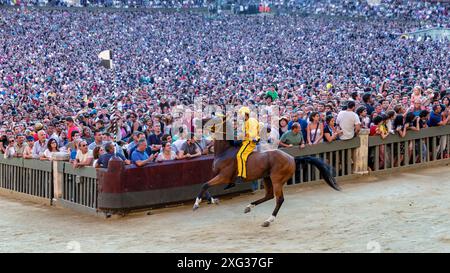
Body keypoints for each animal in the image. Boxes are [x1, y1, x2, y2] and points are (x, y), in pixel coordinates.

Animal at [193, 115, 342, 225]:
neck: (225, 151)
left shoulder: (224, 176)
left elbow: (204, 185)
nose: (196, 122)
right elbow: (206, 186)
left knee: (279, 199)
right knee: (269, 195)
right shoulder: (217, 175)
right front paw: (212, 200)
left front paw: (196, 204)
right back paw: (249, 207)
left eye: (211, 118)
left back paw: (269, 220)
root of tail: (292, 158)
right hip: (266, 178)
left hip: (277, 180)